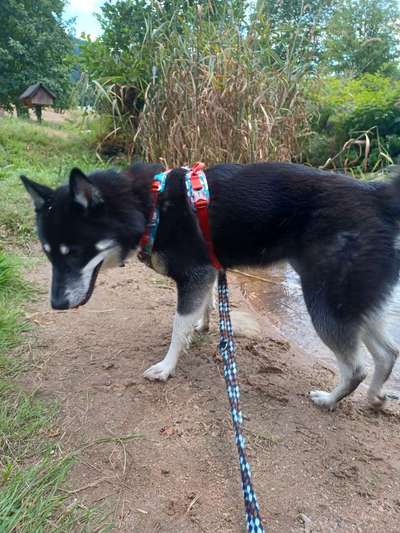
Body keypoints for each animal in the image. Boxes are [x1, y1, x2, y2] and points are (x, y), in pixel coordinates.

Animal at [21, 162, 400, 412]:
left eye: (74, 252)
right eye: (48, 253)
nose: (56, 305)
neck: (150, 207)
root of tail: (376, 195)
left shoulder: (196, 275)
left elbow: (178, 328)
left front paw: (167, 367)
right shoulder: (206, 274)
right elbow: (202, 310)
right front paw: (203, 326)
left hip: (326, 302)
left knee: (357, 367)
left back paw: (330, 399)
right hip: (353, 302)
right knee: (387, 353)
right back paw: (375, 397)